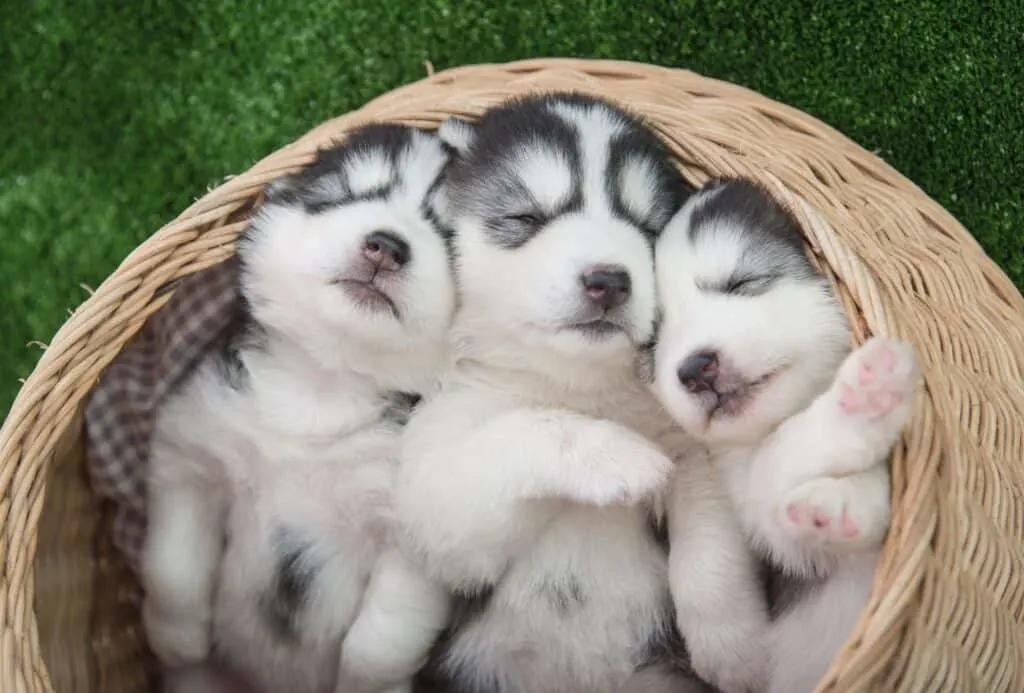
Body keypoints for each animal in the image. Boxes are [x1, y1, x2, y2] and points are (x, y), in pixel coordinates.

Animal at [139, 121, 456, 691]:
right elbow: (172, 569)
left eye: (447, 232)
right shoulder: (191, 456)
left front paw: (362, 682)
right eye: (344, 194)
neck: (321, 388)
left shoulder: (416, 545)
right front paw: (176, 639)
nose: (386, 246)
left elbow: (381, 639)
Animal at [389, 92, 712, 691]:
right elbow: (521, 431)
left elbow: (712, 546)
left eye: (647, 229)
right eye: (525, 217)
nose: (609, 280)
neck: (570, 383)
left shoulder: (692, 450)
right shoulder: (437, 506)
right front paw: (617, 455)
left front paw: (732, 646)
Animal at [651, 177, 925, 691]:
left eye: (741, 282)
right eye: (653, 340)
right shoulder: (772, 526)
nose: (695, 369)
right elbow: (778, 462)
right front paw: (863, 398)